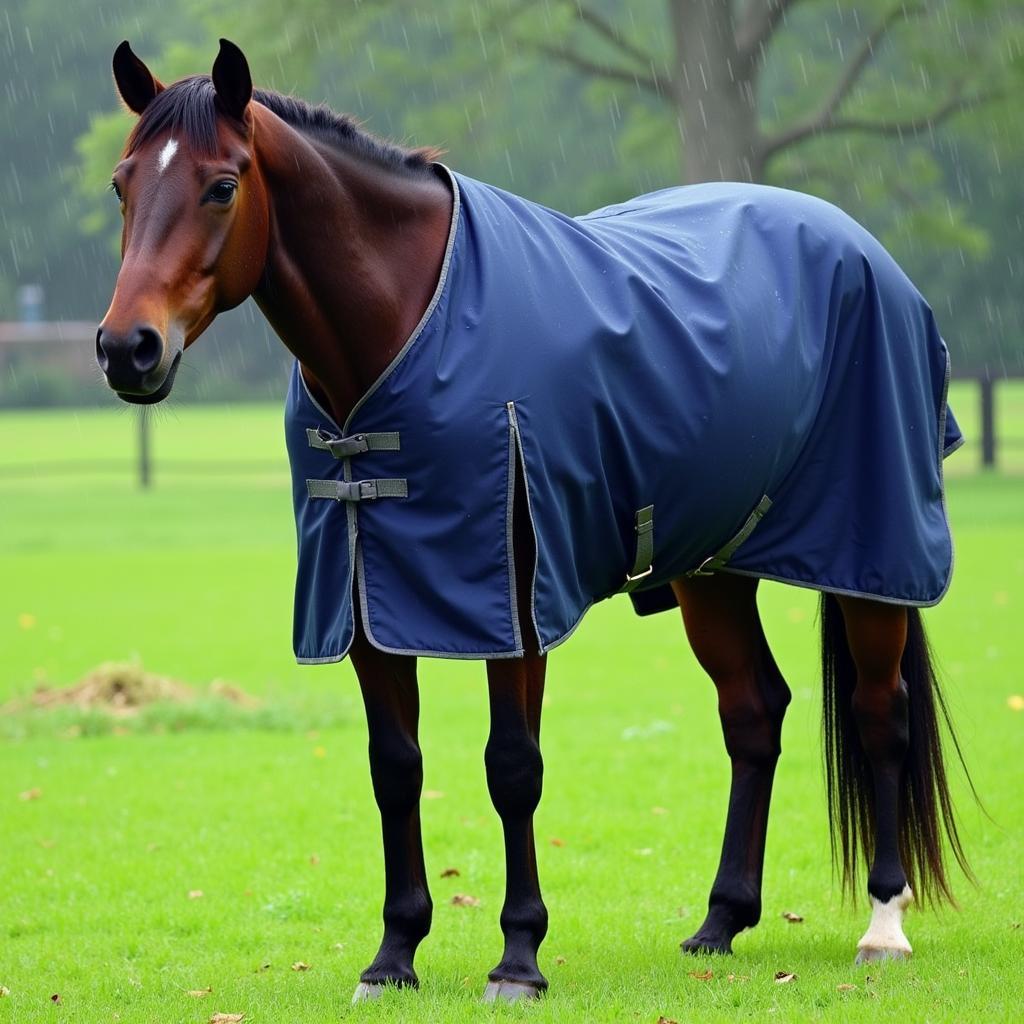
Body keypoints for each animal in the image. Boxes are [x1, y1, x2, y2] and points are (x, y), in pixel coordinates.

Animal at [97, 37, 974, 999]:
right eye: (123, 184)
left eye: (222, 186)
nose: (127, 349)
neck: (410, 322)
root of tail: (863, 250)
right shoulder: (367, 602)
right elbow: (394, 768)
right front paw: (394, 955)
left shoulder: (513, 599)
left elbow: (513, 768)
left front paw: (518, 957)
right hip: (711, 571)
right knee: (753, 712)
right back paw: (720, 921)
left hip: (871, 557)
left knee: (879, 711)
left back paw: (883, 925)